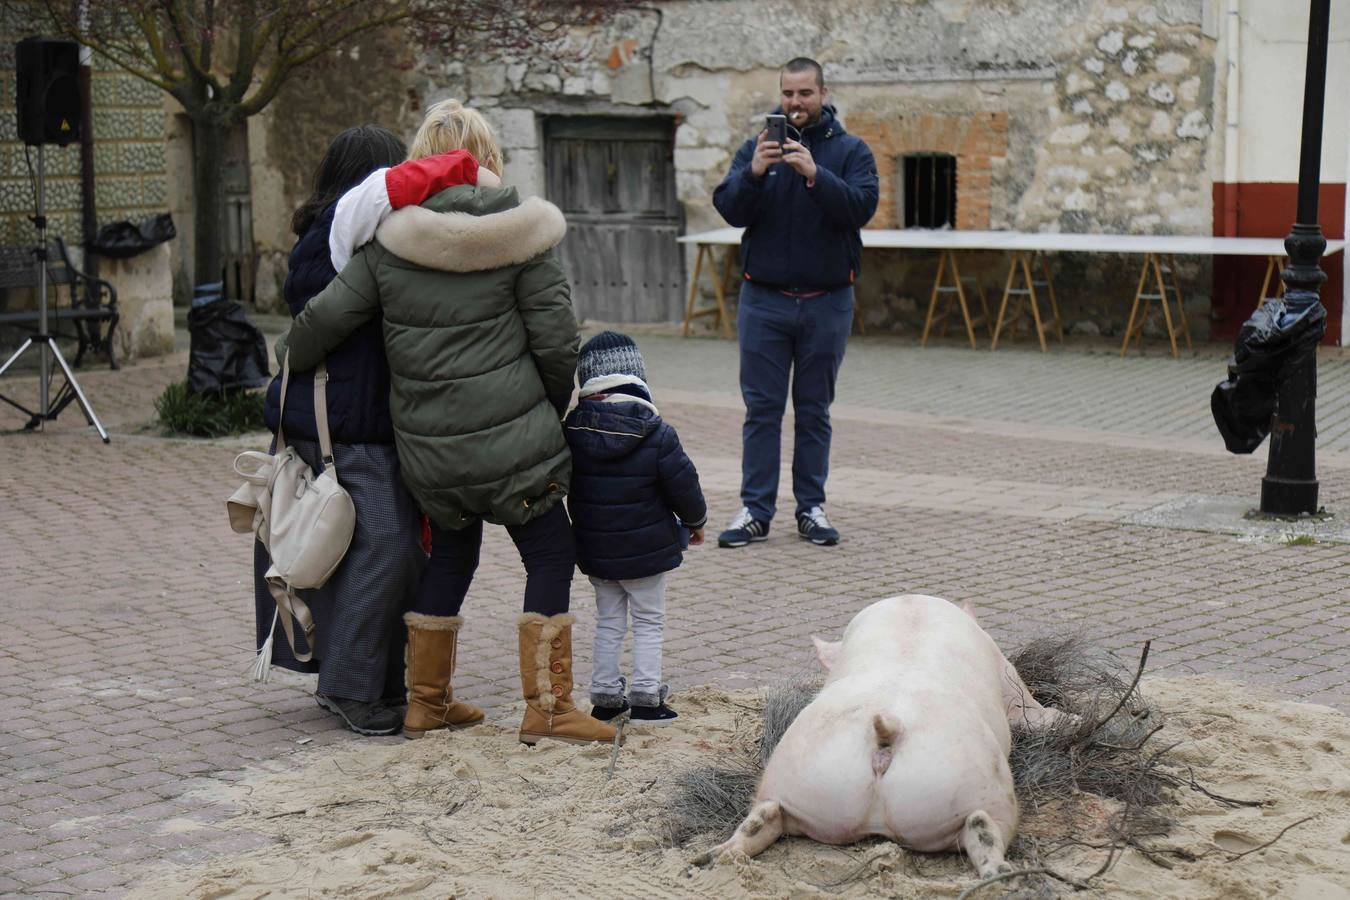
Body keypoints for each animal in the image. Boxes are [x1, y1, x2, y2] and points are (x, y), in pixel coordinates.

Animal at [696, 593, 1074, 874]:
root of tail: (890, 728)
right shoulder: (1004, 668)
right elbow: (1027, 707)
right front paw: (1069, 718)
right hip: (982, 782)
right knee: (988, 825)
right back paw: (1000, 870)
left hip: (796, 771)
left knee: (768, 813)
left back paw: (716, 857)